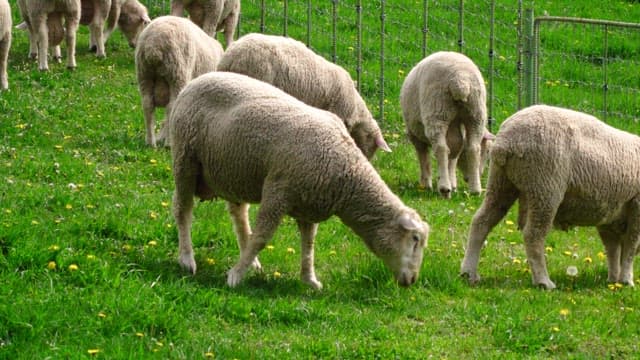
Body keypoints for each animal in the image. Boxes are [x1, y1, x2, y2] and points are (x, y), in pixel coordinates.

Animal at [136, 15, 225, 148]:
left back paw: (151, 142)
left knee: (147, 104)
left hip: (144, 75)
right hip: (177, 73)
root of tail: (154, 46)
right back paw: (168, 143)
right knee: (171, 106)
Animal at [170, 71, 430, 288]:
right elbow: (262, 237)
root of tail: (197, 80)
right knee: (183, 211)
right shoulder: (278, 190)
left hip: (234, 172)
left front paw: (309, 280)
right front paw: (235, 276)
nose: (412, 281)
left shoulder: (309, 206)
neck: (346, 174)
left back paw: (251, 261)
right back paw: (187, 259)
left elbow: (308, 245)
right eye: (415, 239)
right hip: (186, 159)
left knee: (239, 216)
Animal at [400, 50, 496, 197]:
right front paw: (453, 183)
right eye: (488, 152)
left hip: (437, 112)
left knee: (441, 148)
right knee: (473, 148)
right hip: (476, 113)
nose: (480, 174)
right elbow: (454, 154)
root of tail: (460, 79)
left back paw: (444, 188)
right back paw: (475, 190)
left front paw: (426, 184)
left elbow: (424, 157)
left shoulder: (414, 136)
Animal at [462, 104, 640, 290]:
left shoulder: (608, 216)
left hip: (501, 182)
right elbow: (630, 245)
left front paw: (614, 279)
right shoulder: (636, 206)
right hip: (545, 187)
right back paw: (543, 281)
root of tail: (506, 140)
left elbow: (613, 249)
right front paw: (626, 280)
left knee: (481, 222)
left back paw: (469, 273)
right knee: (533, 235)